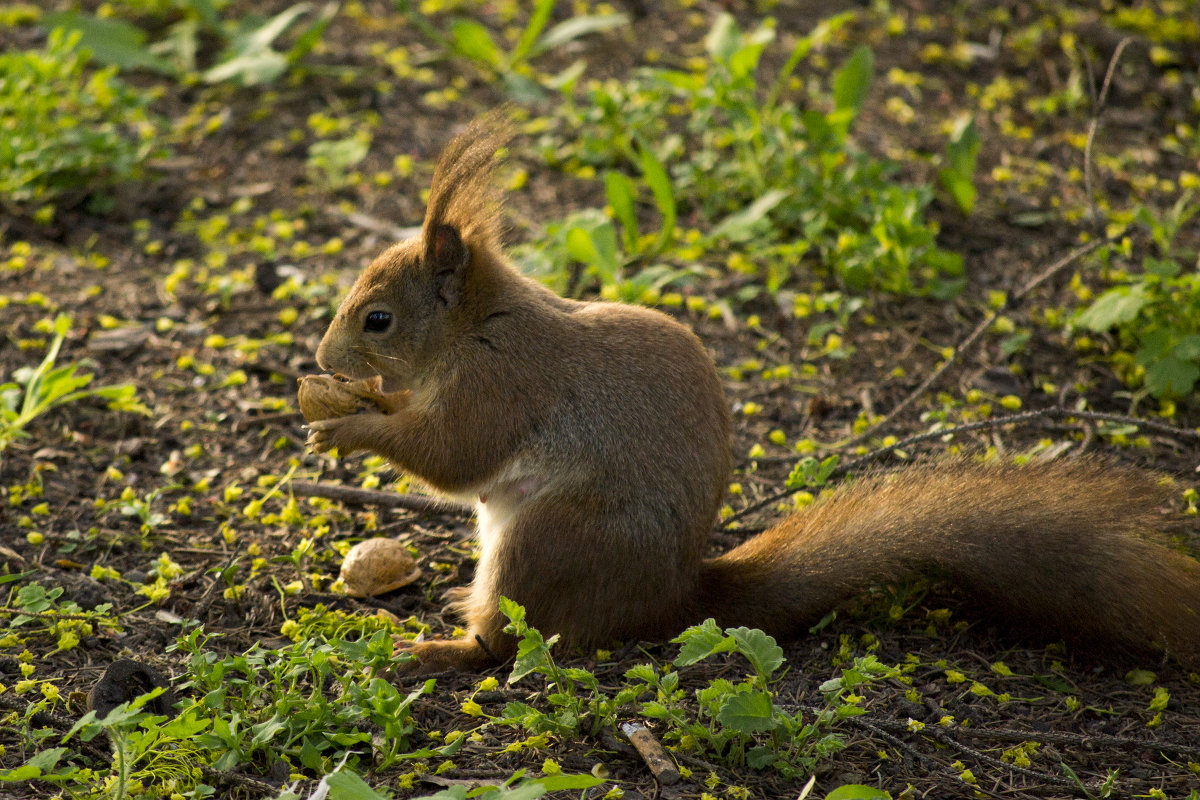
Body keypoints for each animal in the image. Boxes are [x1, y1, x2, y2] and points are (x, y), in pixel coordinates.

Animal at [307, 115, 1200, 671]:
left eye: (379, 318)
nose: (321, 354)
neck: (475, 325)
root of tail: (674, 597)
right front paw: (355, 403)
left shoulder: (503, 380)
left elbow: (454, 457)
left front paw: (352, 424)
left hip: (546, 545)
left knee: (514, 645)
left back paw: (442, 649)